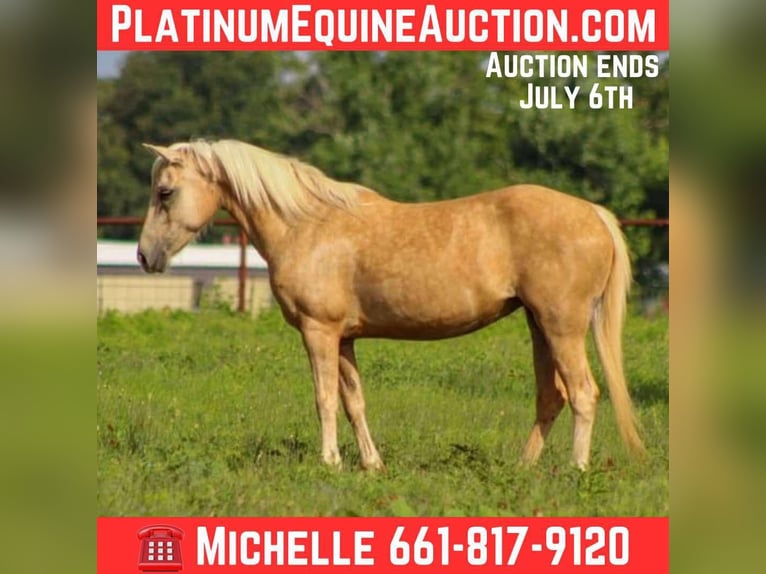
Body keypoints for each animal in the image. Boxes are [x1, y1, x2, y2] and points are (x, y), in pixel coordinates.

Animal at [137, 138, 646, 471]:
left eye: (165, 192)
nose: (145, 256)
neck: (308, 224)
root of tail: (593, 213)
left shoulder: (318, 332)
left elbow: (324, 398)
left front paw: (329, 461)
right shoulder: (343, 339)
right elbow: (353, 401)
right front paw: (371, 464)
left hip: (562, 326)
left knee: (583, 393)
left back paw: (576, 470)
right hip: (539, 326)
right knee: (551, 396)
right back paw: (523, 469)